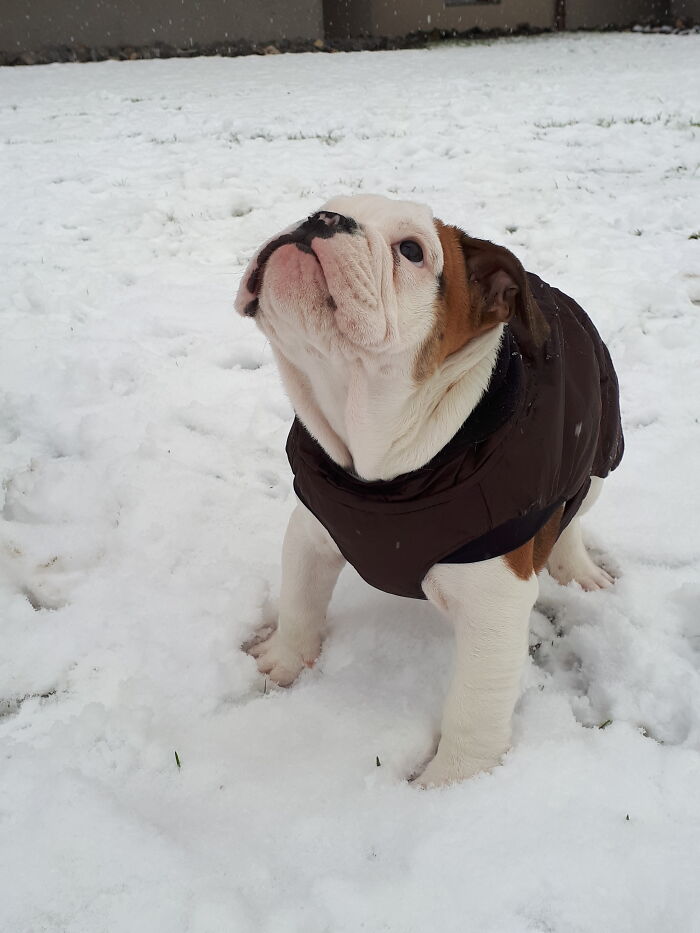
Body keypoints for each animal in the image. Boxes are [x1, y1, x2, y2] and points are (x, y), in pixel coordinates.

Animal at [235, 195, 624, 788]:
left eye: (412, 251)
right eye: (322, 206)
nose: (322, 219)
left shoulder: (495, 599)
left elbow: (475, 702)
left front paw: (455, 783)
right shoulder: (311, 528)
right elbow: (301, 600)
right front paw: (283, 659)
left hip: (599, 456)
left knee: (573, 514)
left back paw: (577, 568)